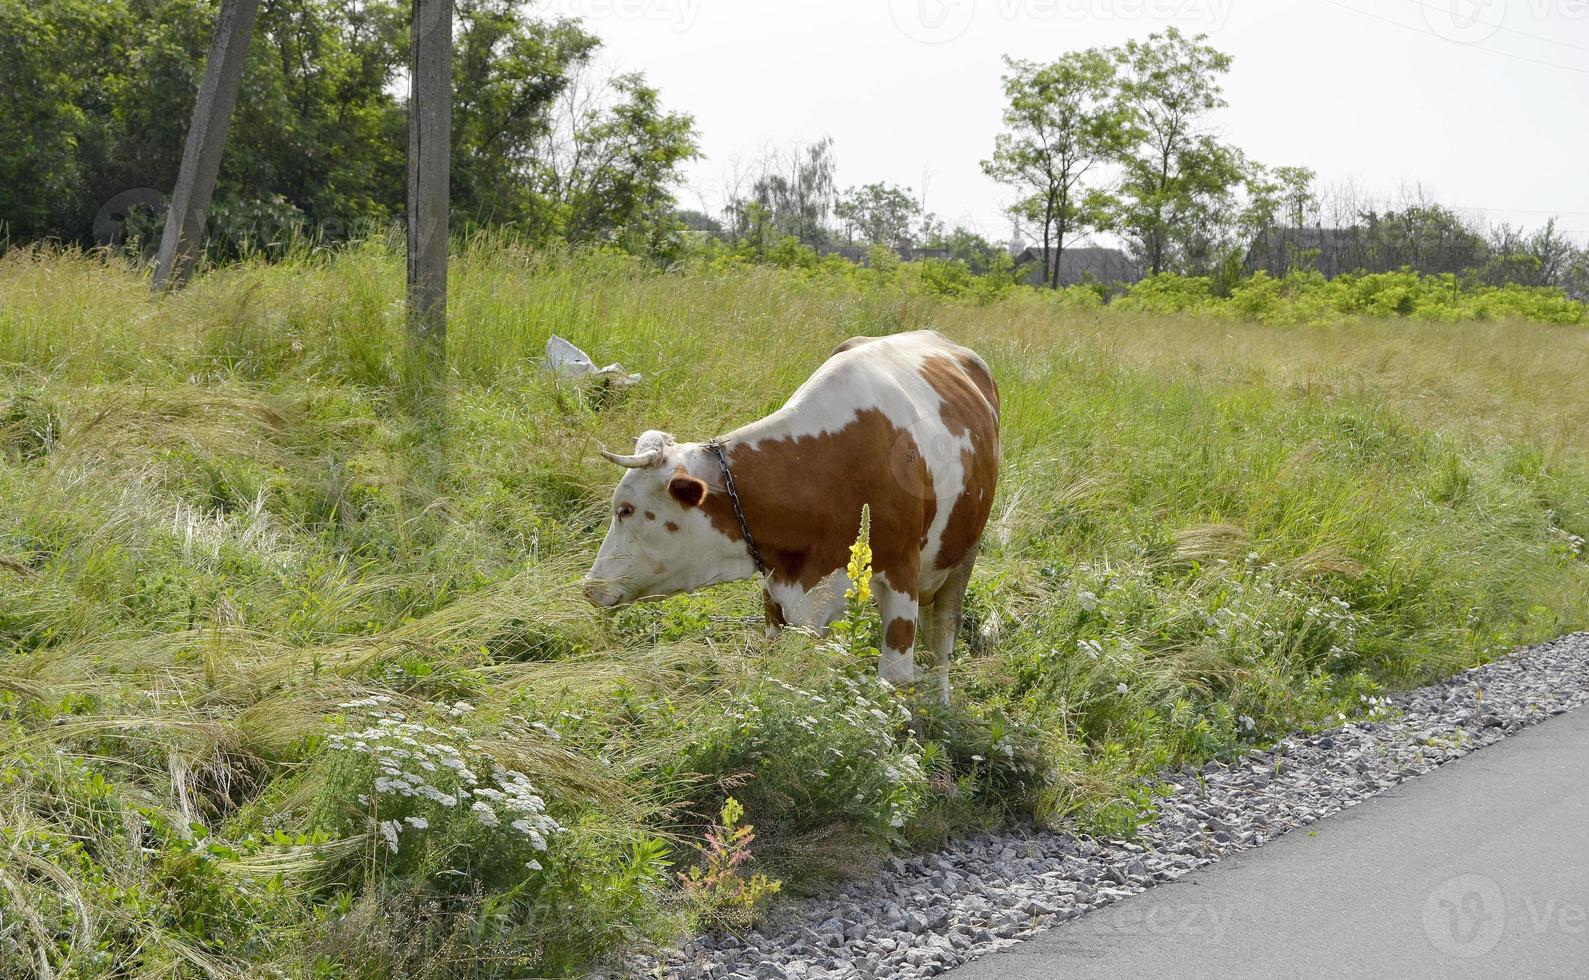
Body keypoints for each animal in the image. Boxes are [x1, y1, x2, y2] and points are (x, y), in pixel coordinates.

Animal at [584, 331, 1004, 698]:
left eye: (625, 509)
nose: (590, 587)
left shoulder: (901, 576)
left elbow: (895, 677)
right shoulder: (777, 588)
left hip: (962, 555)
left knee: (942, 638)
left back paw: (941, 703)